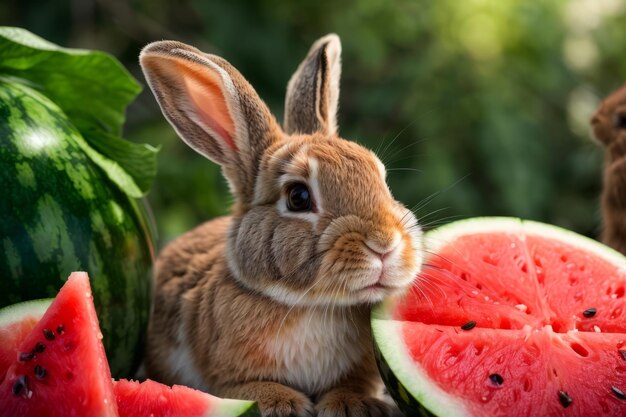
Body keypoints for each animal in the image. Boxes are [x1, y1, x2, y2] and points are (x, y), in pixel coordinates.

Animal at [139, 35, 422, 416]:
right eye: (298, 197)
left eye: (382, 180)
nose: (384, 244)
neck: (312, 306)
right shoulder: (222, 379)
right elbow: (237, 389)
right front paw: (280, 401)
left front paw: (354, 404)